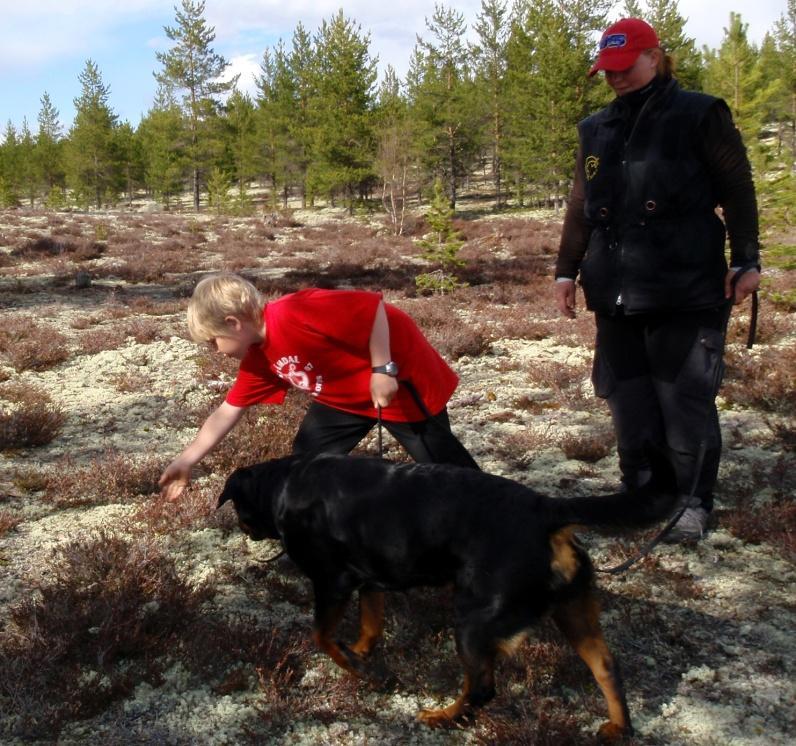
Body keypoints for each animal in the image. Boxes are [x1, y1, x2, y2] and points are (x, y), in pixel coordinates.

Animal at [218, 450, 676, 736]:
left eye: (239, 509)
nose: (244, 528)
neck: (284, 484)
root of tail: (547, 510)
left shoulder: (333, 582)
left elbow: (321, 637)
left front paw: (359, 668)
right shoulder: (369, 579)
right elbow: (370, 625)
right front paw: (364, 654)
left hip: (474, 622)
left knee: (482, 687)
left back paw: (444, 717)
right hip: (573, 610)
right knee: (606, 666)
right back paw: (619, 726)